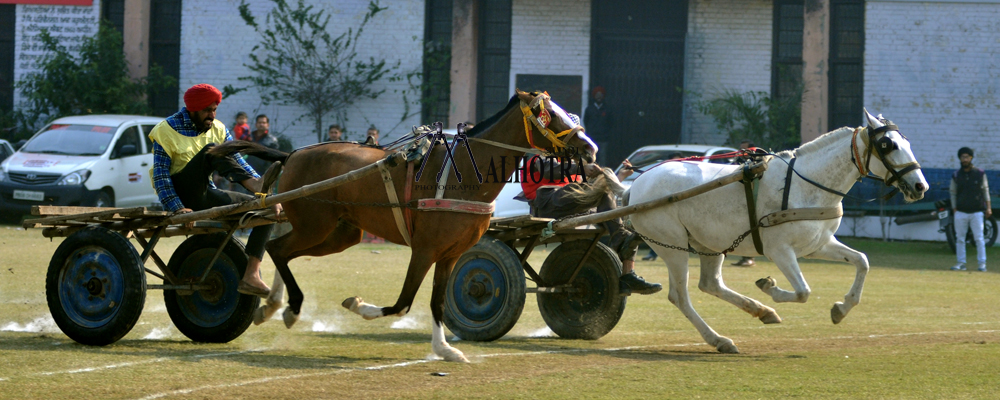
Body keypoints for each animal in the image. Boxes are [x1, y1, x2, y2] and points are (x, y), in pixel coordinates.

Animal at [212, 90, 596, 362]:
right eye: (549, 114)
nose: (590, 148)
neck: (461, 175)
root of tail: (292, 154)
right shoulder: (425, 250)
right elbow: (404, 302)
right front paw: (360, 306)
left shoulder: (451, 254)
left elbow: (438, 302)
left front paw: (444, 350)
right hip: (315, 226)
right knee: (277, 248)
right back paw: (286, 305)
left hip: (339, 233)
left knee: (285, 251)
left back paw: (276, 305)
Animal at [632, 110, 928, 354]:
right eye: (887, 145)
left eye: (907, 142)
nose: (920, 186)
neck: (806, 185)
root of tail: (637, 183)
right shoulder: (780, 251)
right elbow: (803, 292)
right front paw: (770, 287)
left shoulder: (817, 245)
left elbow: (862, 261)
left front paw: (841, 309)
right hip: (672, 246)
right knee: (680, 296)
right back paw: (720, 339)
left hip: (710, 244)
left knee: (710, 284)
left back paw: (760, 313)